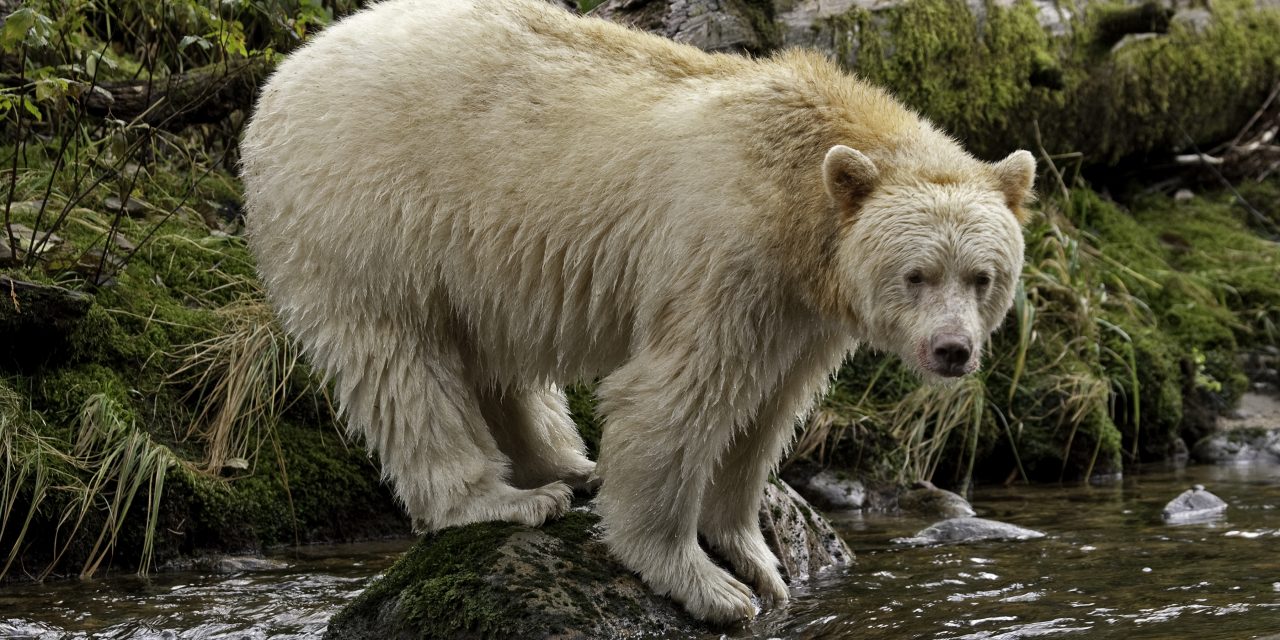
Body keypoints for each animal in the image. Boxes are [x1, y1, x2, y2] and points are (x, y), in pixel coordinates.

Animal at [239, 0, 1034, 624]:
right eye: (916, 275)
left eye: (983, 277)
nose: (953, 351)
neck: (794, 193)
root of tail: (285, 73)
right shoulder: (725, 257)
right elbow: (677, 397)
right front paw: (707, 584)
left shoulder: (802, 308)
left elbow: (767, 413)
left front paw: (758, 558)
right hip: (370, 214)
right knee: (401, 363)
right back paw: (503, 498)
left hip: (472, 255)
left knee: (490, 356)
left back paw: (566, 463)